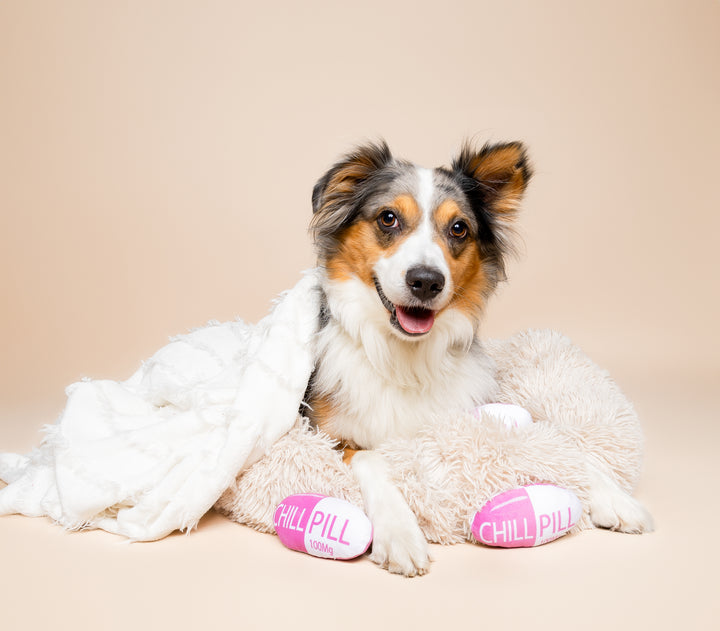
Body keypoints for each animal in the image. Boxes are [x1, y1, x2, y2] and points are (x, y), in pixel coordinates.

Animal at [304, 141, 652, 576]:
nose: (426, 281)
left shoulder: (479, 413)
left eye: (458, 229)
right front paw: (400, 534)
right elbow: (371, 458)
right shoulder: (322, 434)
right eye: (388, 219)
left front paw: (614, 495)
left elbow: (557, 441)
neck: (405, 357)